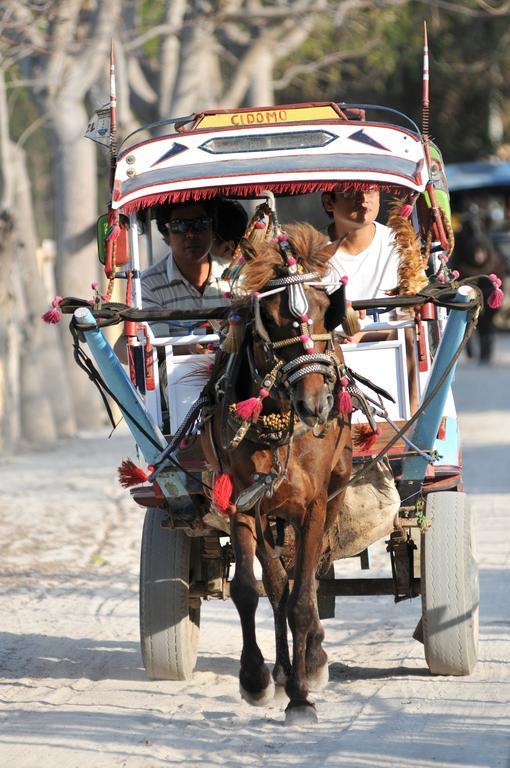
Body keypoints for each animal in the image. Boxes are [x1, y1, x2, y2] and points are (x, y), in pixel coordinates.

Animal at [201, 224, 352, 728]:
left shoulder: (313, 507)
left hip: (334, 495)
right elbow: (251, 590)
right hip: (270, 513)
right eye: (269, 316)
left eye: (326, 308)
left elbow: (304, 598)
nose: (316, 405)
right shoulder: (241, 502)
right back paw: (285, 670)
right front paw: (256, 679)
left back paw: (313, 659)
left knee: (310, 577)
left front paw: (302, 697)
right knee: (275, 586)